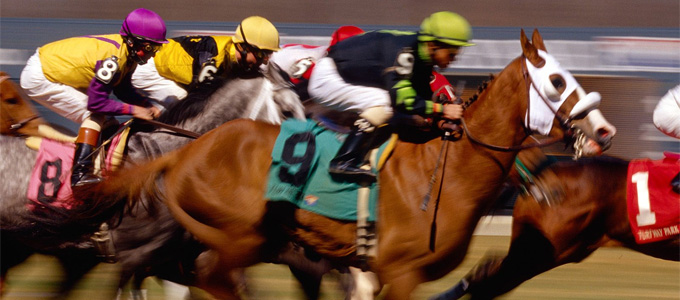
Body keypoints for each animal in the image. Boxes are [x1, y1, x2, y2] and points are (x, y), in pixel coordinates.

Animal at [78, 28, 616, 300]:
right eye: (556, 83)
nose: (604, 132)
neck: (446, 170)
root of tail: (189, 148)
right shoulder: (398, 272)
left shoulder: (363, 272)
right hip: (235, 237)